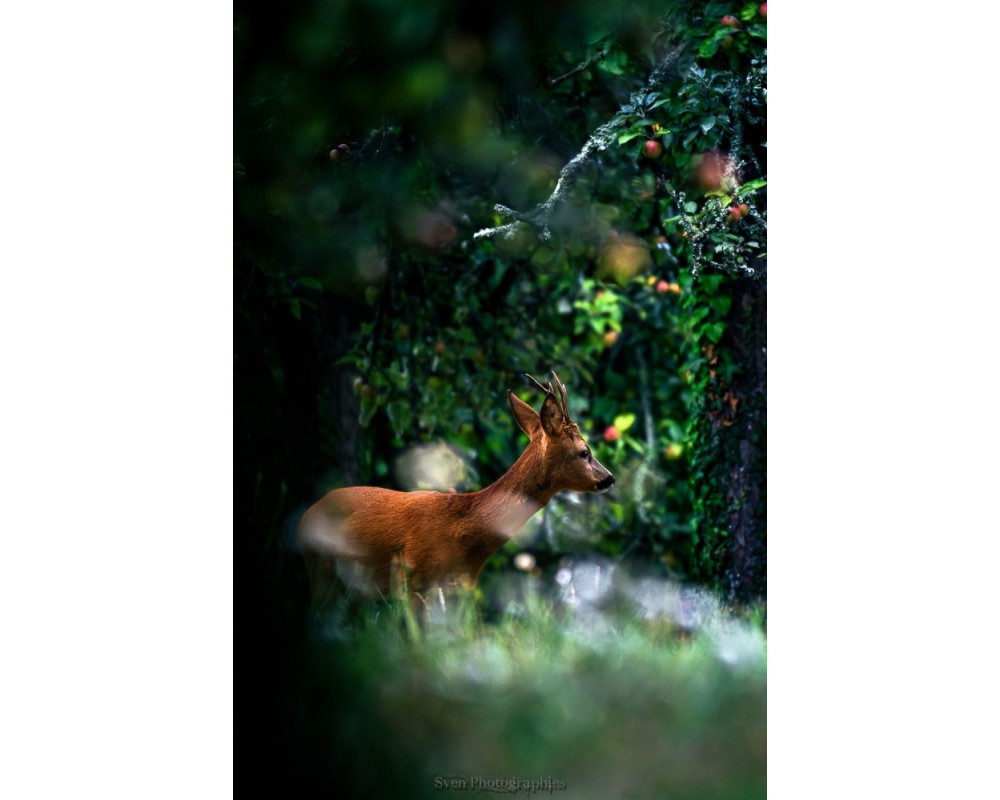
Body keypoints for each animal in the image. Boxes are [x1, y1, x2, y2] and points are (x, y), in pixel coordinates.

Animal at [296, 372, 614, 610]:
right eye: (584, 452)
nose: (608, 478)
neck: (463, 531)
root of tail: (306, 514)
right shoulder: (412, 581)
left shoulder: (459, 588)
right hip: (320, 568)